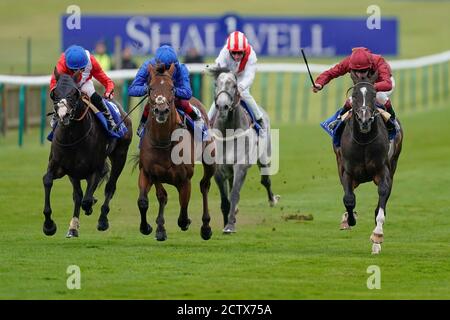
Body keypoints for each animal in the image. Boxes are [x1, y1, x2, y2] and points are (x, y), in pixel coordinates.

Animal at [42, 69, 132, 238]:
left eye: (74, 93)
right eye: (54, 93)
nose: (63, 115)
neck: (73, 137)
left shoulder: (95, 169)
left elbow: (87, 198)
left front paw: (91, 206)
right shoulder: (61, 167)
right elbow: (48, 181)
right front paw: (49, 225)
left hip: (120, 155)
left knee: (110, 186)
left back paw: (102, 220)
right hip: (74, 173)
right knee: (78, 195)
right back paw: (72, 228)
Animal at [136, 63, 215, 241]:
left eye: (172, 88)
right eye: (150, 88)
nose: (161, 110)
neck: (164, 141)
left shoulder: (185, 179)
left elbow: (183, 209)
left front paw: (186, 222)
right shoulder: (149, 172)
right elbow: (146, 200)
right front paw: (149, 227)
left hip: (210, 160)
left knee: (205, 185)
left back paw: (206, 227)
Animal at [209, 68, 280, 232]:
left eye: (234, 85)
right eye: (216, 84)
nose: (222, 106)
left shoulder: (240, 166)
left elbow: (234, 194)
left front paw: (229, 225)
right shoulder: (218, 170)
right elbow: (225, 200)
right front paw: (226, 221)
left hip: (264, 157)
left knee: (265, 180)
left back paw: (272, 200)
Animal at [334, 71, 404, 254]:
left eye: (373, 95)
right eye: (354, 95)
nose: (364, 120)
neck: (364, 140)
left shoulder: (383, 170)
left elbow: (382, 196)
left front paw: (377, 235)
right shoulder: (347, 171)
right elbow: (348, 199)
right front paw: (349, 219)